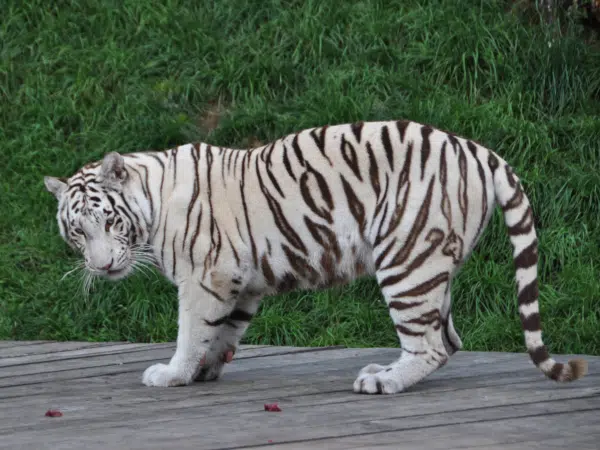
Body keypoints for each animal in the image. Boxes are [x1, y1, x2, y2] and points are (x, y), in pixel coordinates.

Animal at [44, 120, 588, 394]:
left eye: (110, 223)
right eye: (77, 232)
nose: (101, 266)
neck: (152, 204)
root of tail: (478, 150)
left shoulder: (206, 276)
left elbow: (191, 330)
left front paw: (173, 374)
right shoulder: (242, 281)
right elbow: (223, 332)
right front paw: (204, 371)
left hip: (406, 257)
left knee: (432, 343)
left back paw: (382, 382)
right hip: (433, 262)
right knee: (448, 337)